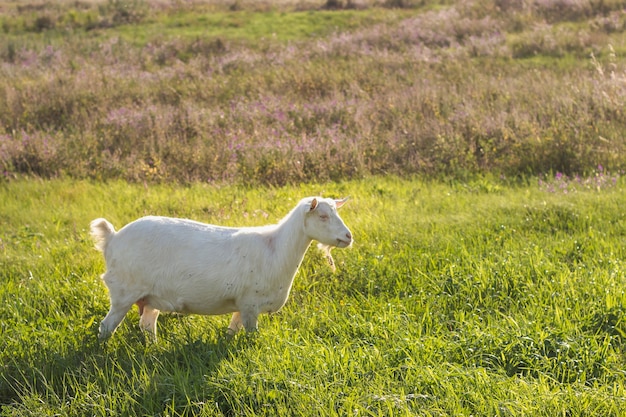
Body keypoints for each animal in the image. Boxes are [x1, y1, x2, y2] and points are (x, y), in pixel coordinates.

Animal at [89, 197, 352, 340]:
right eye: (323, 216)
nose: (348, 237)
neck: (275, 248)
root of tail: (112, 238)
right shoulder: (250, 304)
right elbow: (251, 336)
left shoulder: (242, 305)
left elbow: (231, 333)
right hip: (124, 291)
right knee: (106, 326)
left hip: (151, 297)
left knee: (147, 325)